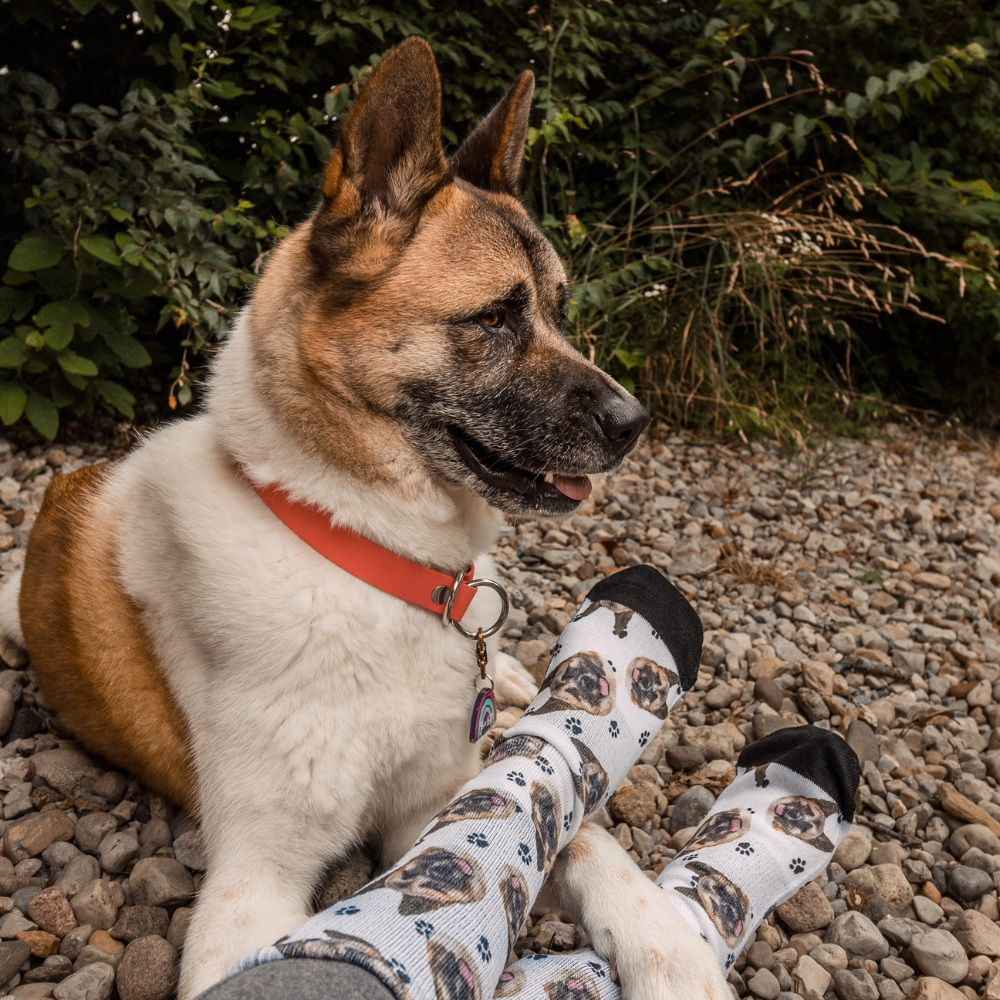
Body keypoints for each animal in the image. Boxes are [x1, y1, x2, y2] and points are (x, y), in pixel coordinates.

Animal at [3, 37, 732, 1000]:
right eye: (494, 318)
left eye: (560, 310)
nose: (634, 422)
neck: (365, 552)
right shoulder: (254, 883)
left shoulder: (442, 795)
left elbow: (582, 837)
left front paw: (670, 945)